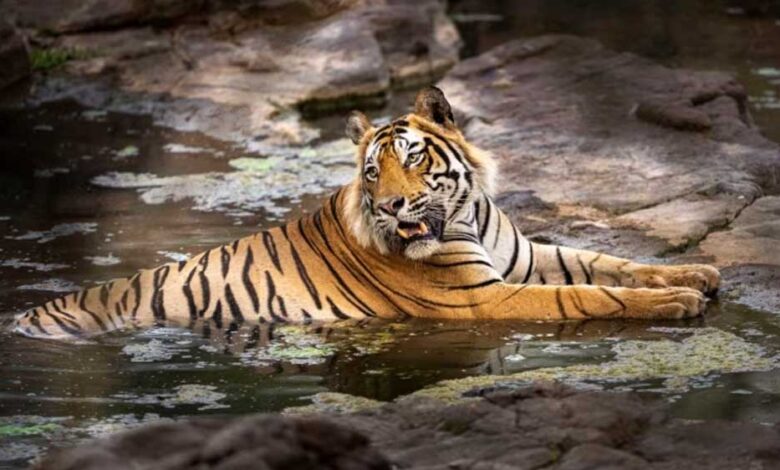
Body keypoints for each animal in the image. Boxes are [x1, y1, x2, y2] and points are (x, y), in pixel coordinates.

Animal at [10, 86, 720, 340]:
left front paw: (697, 275)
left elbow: (605, 261)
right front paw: (675, 303)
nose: (389, 204)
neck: (466, 211)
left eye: (411, 159)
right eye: (372, 172)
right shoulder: (484, 297)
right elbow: (588, 295)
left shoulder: (521, 258)